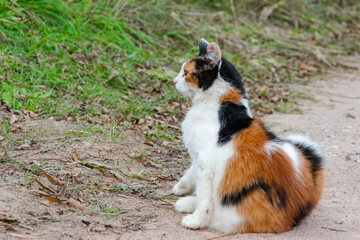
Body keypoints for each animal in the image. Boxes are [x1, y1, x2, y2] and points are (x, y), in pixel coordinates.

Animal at [172, 39, 324, 232]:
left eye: (185, 72)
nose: (174, 81)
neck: (224, 102)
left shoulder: (206, 163)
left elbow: (205, 198)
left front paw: (197, 220)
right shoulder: (199, 155)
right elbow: (192, 173)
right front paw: (181, 187)